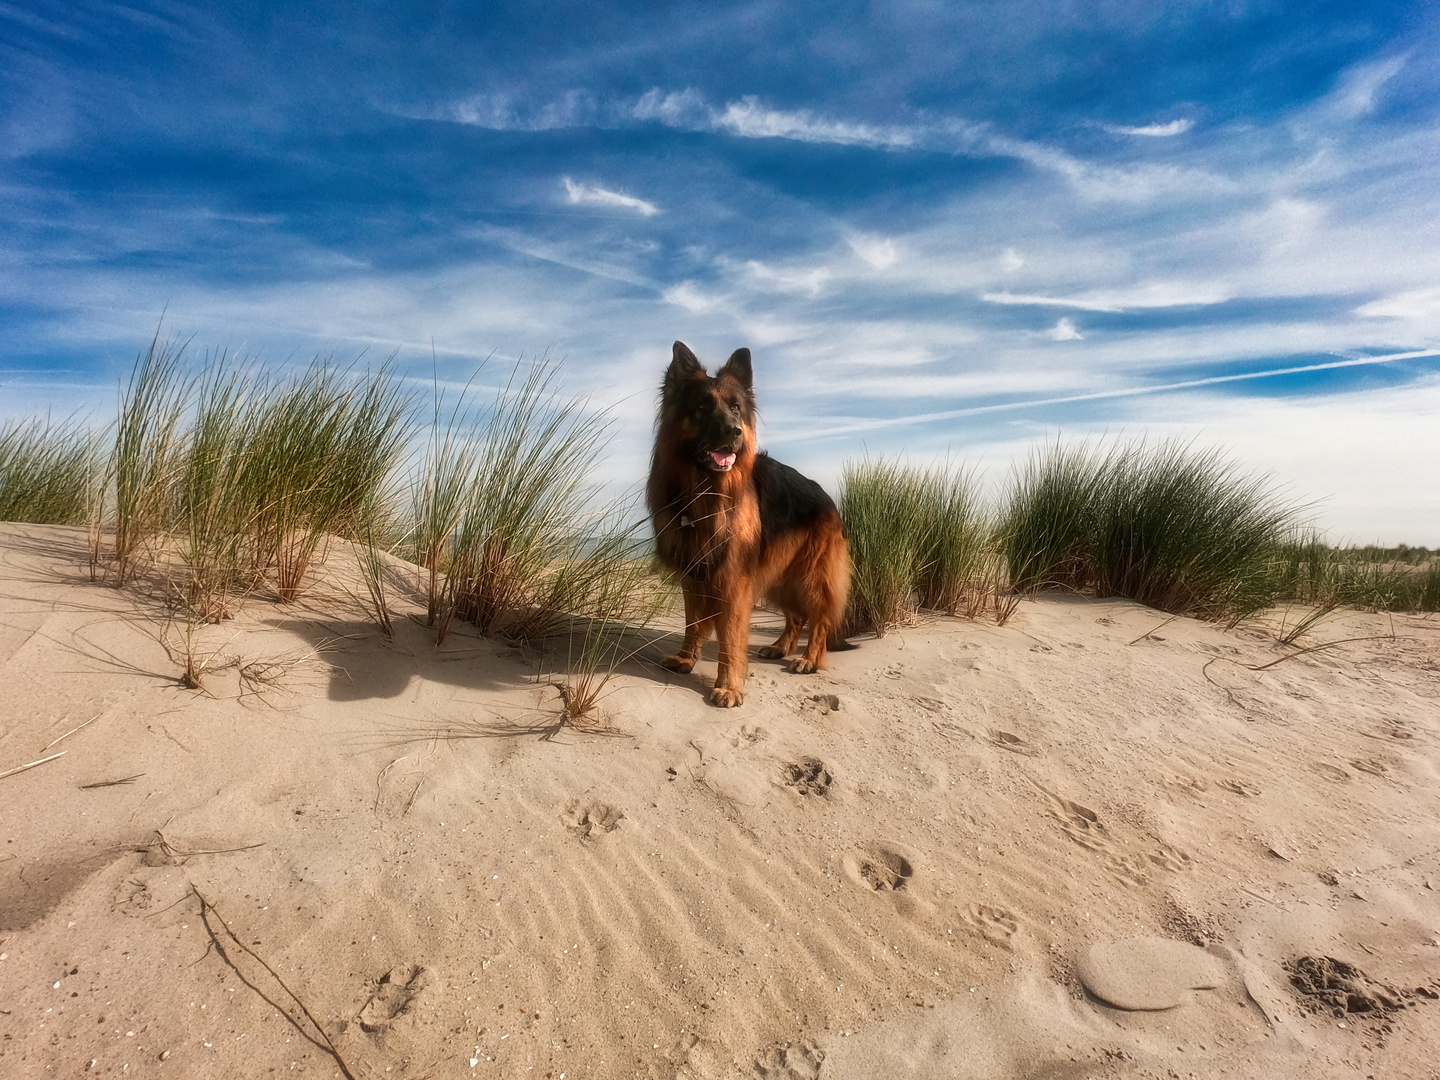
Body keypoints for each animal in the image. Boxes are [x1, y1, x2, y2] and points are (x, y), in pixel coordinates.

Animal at [648, 342, 846, 705]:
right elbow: (693, 624)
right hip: (780, 575)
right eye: (702, 406)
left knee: (819, 619)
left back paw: (809, 659)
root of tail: (826, 496)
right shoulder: (694, 576)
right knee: (796, 616)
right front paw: (686, 658)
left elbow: (730, 638)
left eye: (736, 408)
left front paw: (729, 685)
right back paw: (780, 647)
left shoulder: (733, 582)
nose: (734, 432)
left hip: (810, 576)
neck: (707, 493)